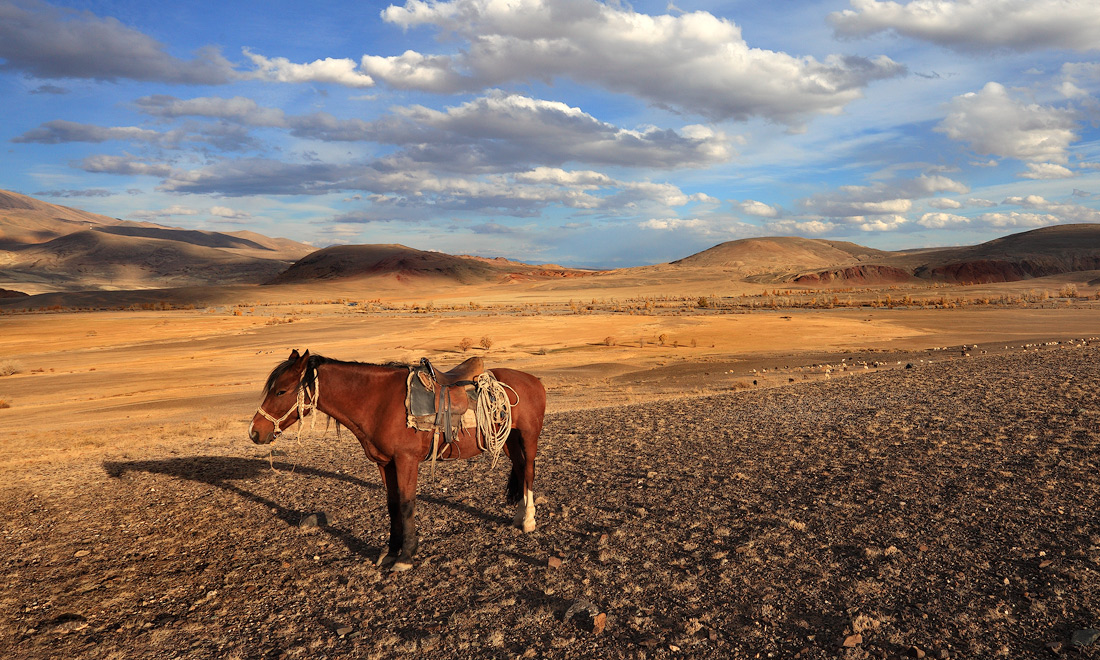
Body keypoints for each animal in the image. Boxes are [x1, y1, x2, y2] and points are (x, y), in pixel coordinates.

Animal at [247, 349, 543, 572]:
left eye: (281, 391)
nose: (254, 432)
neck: (378, 402)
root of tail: (534, 380)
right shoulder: (385, 463)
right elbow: (392, 506)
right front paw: (391, 552)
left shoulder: (406, 461)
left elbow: (406, 504)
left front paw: (406, 556)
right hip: (508, 441)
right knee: (519, 469)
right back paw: (519, 517)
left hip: (528, 438)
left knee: (528, 472)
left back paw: (529, 521)